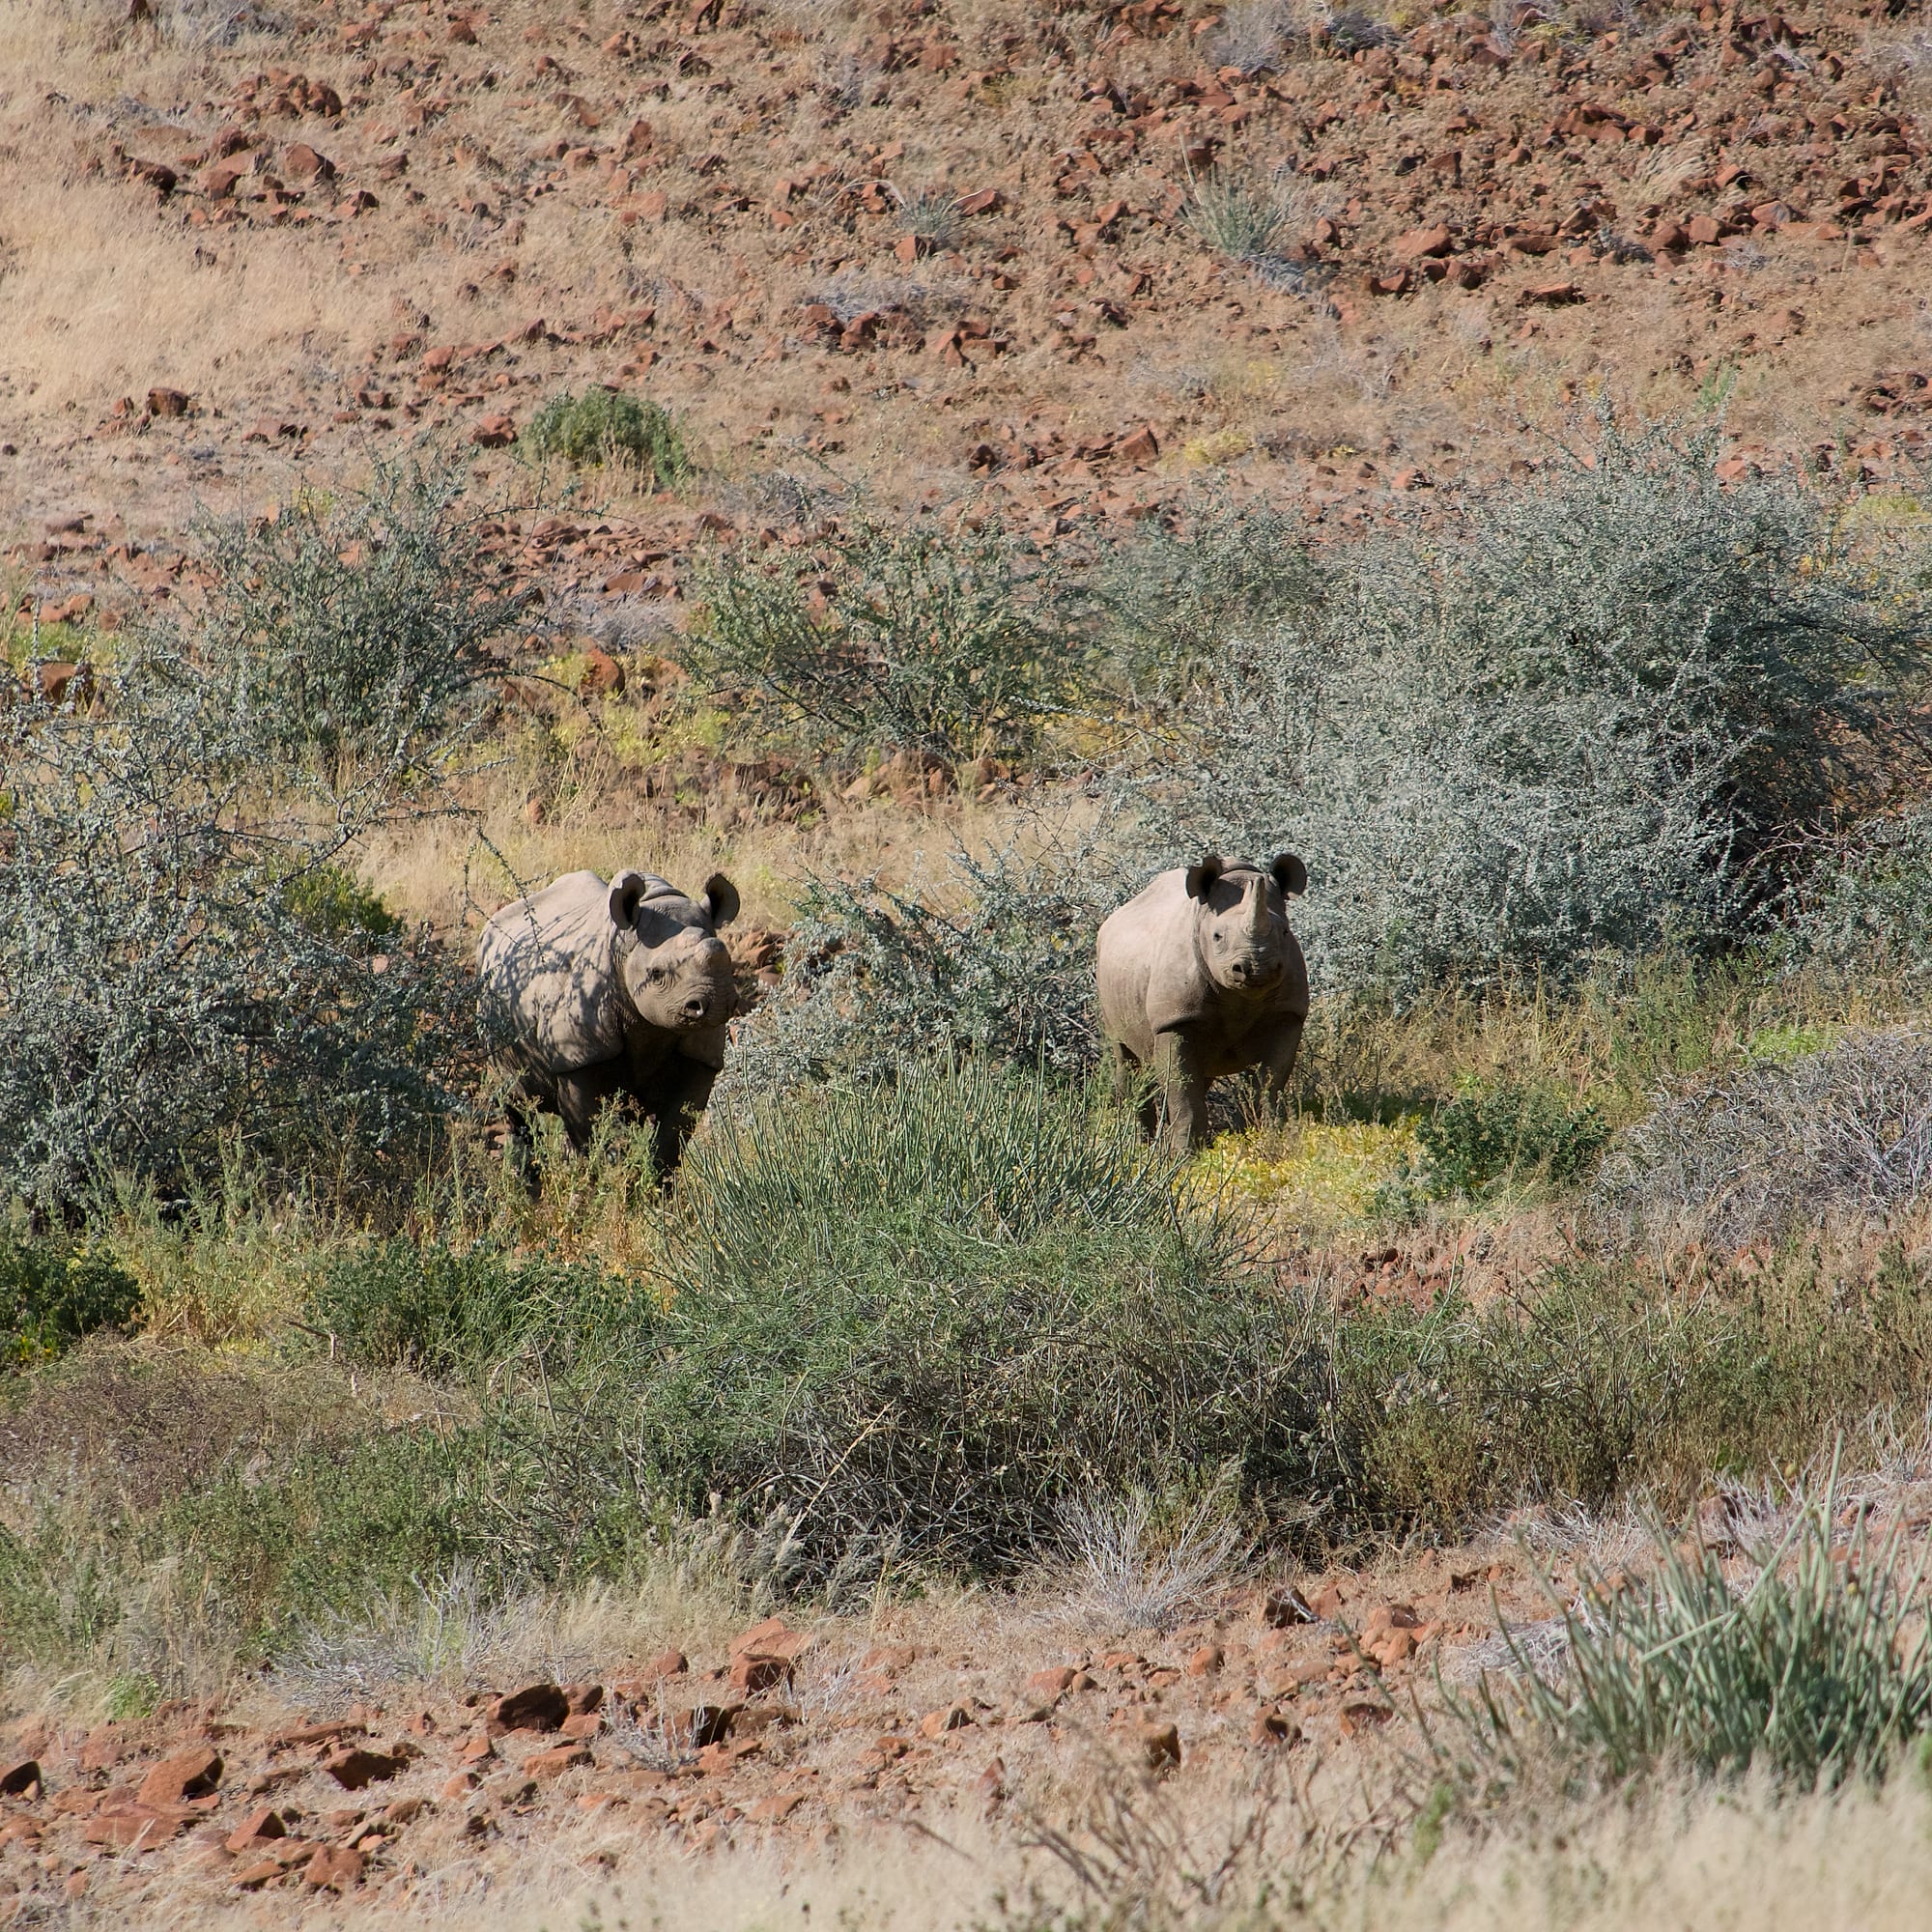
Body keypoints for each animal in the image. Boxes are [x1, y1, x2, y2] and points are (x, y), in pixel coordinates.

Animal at [477, 867, 740, 1175]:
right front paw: (607, 1178)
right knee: (515, 1099)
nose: (718, 1001)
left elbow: (671, 1137)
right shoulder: (580, 1054)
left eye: (728, 962)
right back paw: (524, 1177)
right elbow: (591, 1127)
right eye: (656, 973)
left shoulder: (700, 1054)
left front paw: (650, 1184)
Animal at [1095, 854, 1309, 1152]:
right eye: (1217, 936)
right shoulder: (1174, 1020)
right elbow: (1183, 1093)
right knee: (1127, 1059)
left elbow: (1270, 1086)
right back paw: (1140, 1147)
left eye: (1286, 932)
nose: (1258, 969)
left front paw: (1273, 1139)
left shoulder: (1287, 1013)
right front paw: (1185, 1156)